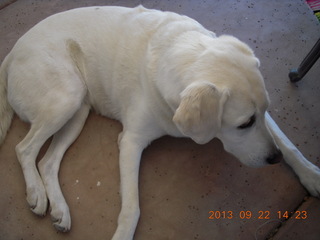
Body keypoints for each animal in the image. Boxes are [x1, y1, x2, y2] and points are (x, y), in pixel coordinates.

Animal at [0, 5, 320, 238]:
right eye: (244, 124)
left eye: (261, 114)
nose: (274, 159)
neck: (181, 53)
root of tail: (11, 52)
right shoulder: (130, 142)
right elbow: (132, 208)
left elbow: (288, 142)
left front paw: (310, 174)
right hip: (67, 97)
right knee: (24, 149)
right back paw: (36, 193)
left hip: (78, 110)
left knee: (47, 162)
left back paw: (60, 209)